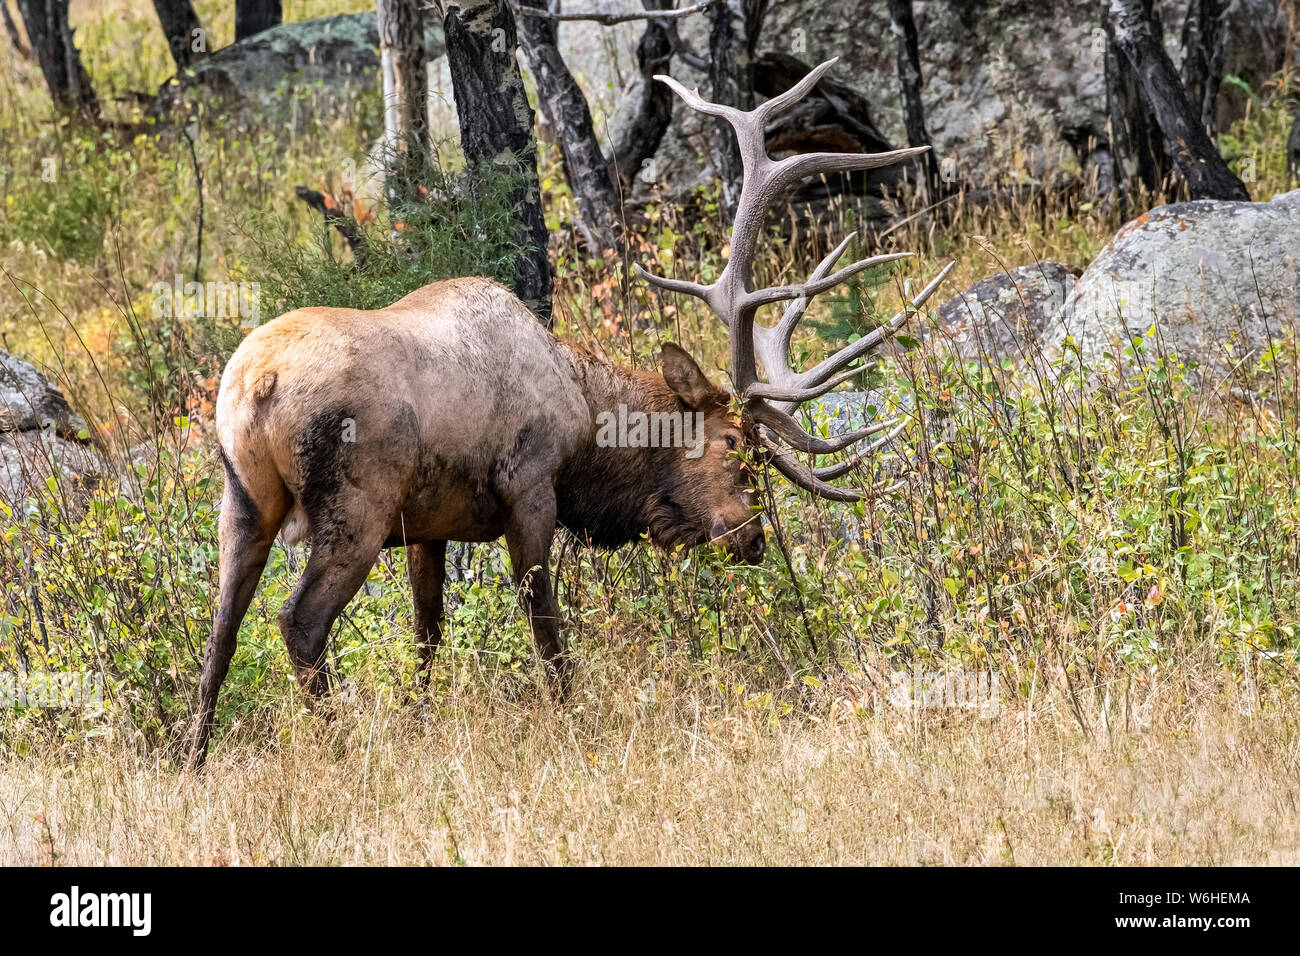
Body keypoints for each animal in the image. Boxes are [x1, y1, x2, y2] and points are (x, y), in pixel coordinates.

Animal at [188, 55, 951, 770]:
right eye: (736, 444)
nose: (751, 538)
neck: (585, 420)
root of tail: (256, 382)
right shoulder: (528, 489)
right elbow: (547, 625)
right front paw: (571, 717)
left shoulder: (428, 526)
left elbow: (427, 631)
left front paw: (419, 719)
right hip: (356, 505)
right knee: (298, 622)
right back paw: (336, 743)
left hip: (244, 500)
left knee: (222, 626)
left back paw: (193, 755)